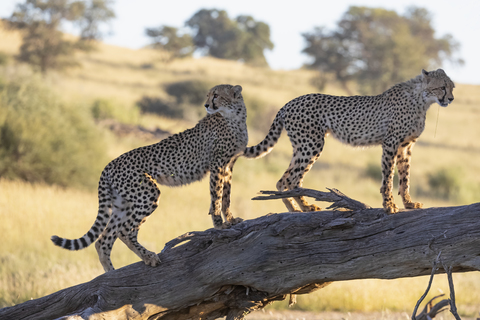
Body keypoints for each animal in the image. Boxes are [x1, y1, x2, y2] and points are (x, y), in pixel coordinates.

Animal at [51, 84, 248, 272]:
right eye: (209, 95)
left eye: (216, 95)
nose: (206, 105)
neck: (234, 116)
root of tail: (110, 164)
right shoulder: (217, 165)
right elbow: (216, 196)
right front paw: (219, 225)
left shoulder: (228, 165)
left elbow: (226, 196)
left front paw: (231, 219)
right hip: (147, 194)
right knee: (124, 232)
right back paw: (148, 257)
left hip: (123, 203)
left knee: (104, 239)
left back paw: (111, 272)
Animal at [246, 69, 456, 214]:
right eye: (442, 87)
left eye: (452, 87)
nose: (451, 99)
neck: (421, 100)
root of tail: (289, 103)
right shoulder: (391, 143)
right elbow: (388, 178)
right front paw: (389, 206)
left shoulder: (406, 146)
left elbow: (405, 178)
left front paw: (409, 203)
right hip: (311, 144)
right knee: (292, 179)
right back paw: (305, 207)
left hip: (302, 146)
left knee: (282, 180)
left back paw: (295, 209)